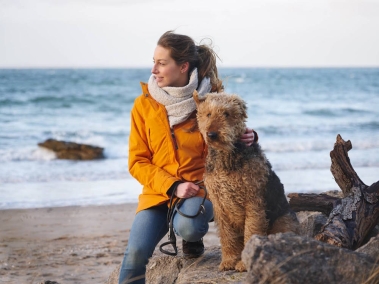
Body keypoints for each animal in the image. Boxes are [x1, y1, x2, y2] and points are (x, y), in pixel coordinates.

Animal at [196, 90, 300, 270]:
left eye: (227, 113)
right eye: (208, 114)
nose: (212, 134)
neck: (226, 156)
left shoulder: (253, 202)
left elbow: (251, 231)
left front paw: (244, 264)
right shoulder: (219, 204)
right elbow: (227, 236)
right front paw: (229, 260)